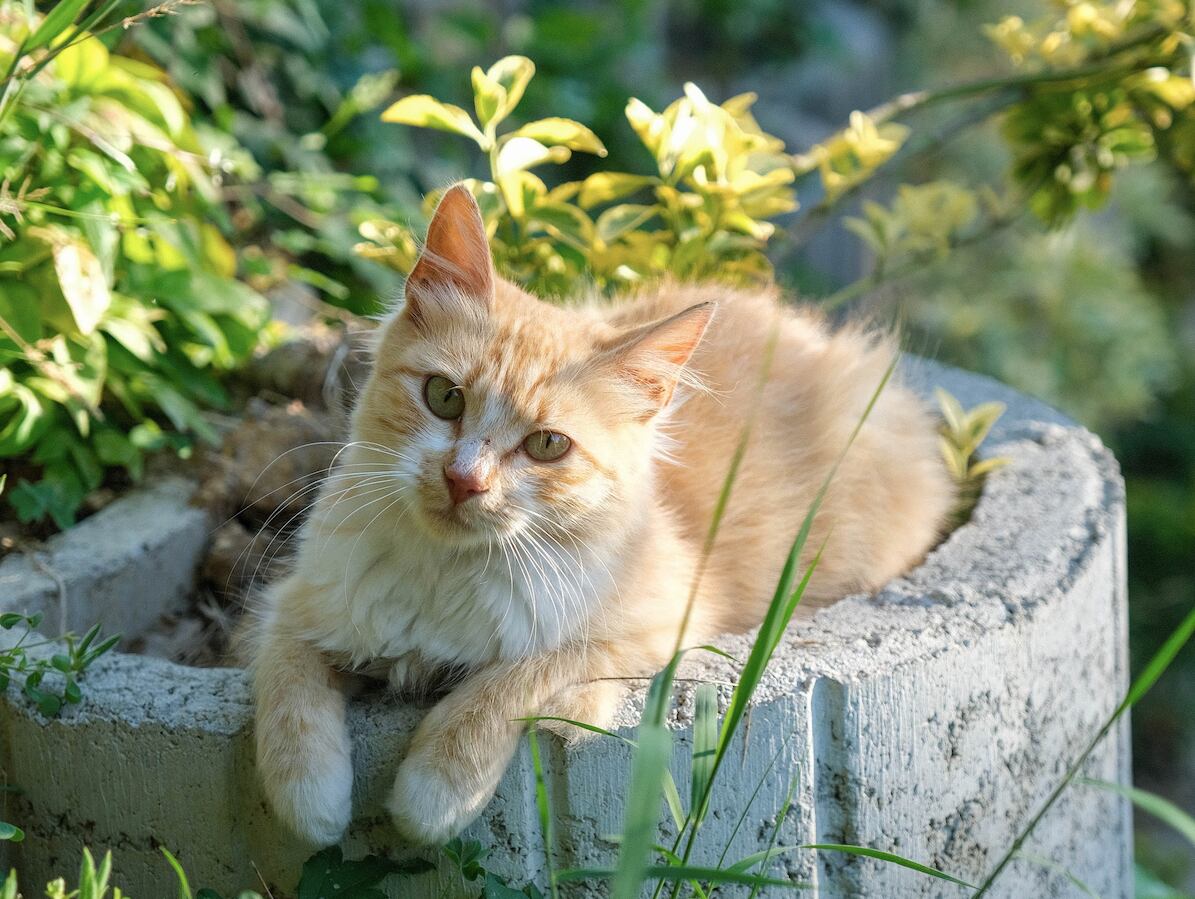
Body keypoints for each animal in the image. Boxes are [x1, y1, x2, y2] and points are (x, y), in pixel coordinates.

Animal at [249, 184, 951, 851]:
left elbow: (513, 679)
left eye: (547, 445)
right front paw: (310, 799)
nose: (463, 479)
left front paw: (436, 790)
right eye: (444, 397)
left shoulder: (658, 625)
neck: (444, 576)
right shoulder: (300, 601)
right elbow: (285, 684)